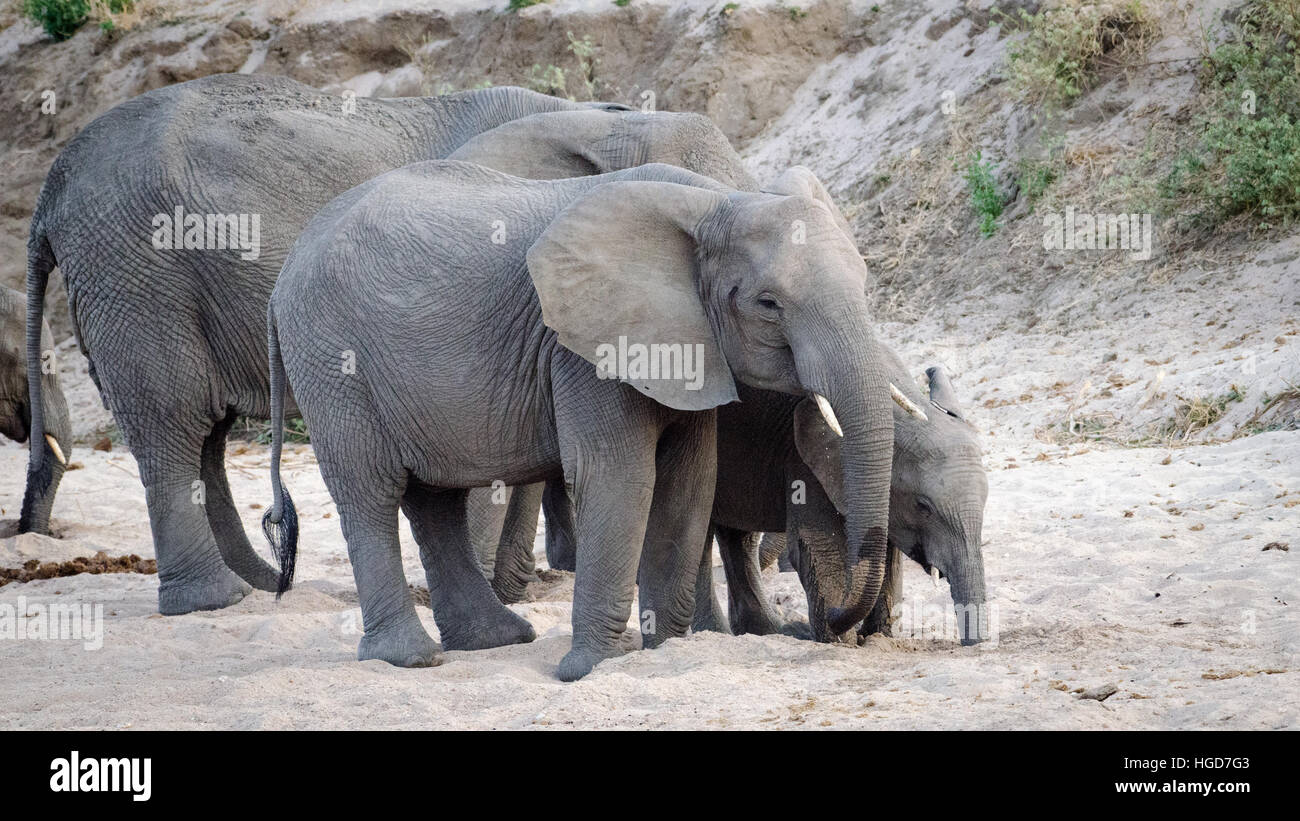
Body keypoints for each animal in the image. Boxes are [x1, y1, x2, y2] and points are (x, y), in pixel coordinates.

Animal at [17, 72, 754, 615]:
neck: (601, 121)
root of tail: (50, 188)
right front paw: (495, 594)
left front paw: (515, 590)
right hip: (135, 272)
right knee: (171, 420)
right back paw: (215, 600)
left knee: (207, 436)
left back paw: (263, 587)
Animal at [263, 160, 915, 680]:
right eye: (769, 304)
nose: (838, 623)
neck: (715, 202)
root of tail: (283, 275)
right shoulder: (583, 348)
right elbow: (619, 477)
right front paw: (596, 666)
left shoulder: (688, 343)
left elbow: (689, 481)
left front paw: (668, 651)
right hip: (331, 359)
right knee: (372, 490)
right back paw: (411, 658)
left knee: (432, 498)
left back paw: (495, 640)